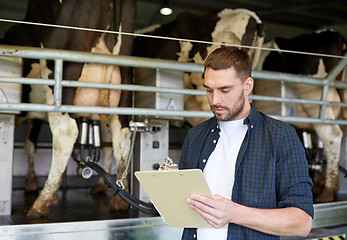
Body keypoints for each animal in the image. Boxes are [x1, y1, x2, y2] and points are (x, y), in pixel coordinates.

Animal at [1, 0, 136, 218]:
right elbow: (30, 145)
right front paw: (30, 182)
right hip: (123, 85)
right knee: (120, 136)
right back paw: (119, 199)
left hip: (61, 75)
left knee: (66, 132)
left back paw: (42, 202)